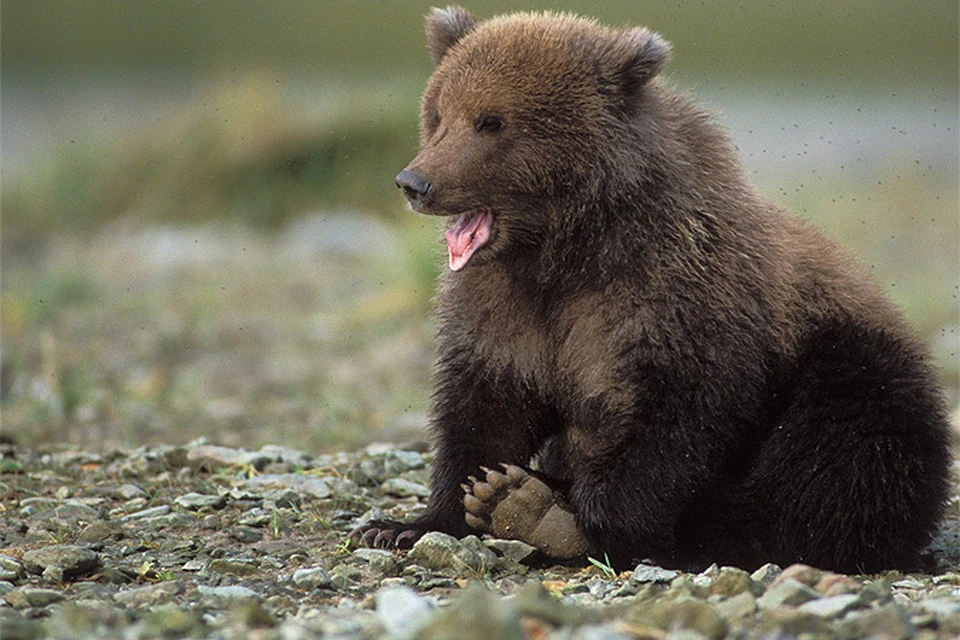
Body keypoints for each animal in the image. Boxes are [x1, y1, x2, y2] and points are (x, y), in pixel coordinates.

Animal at [352, 6, 952, 576]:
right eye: (438, 114)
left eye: (491, 121)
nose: (414, 182)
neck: (566, 249)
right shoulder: (502, 306)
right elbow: (484, 407)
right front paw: (413, 520)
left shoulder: (679, 291)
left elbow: (680, 413)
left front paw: (574, 514)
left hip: (858, 370)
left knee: (833, 458)